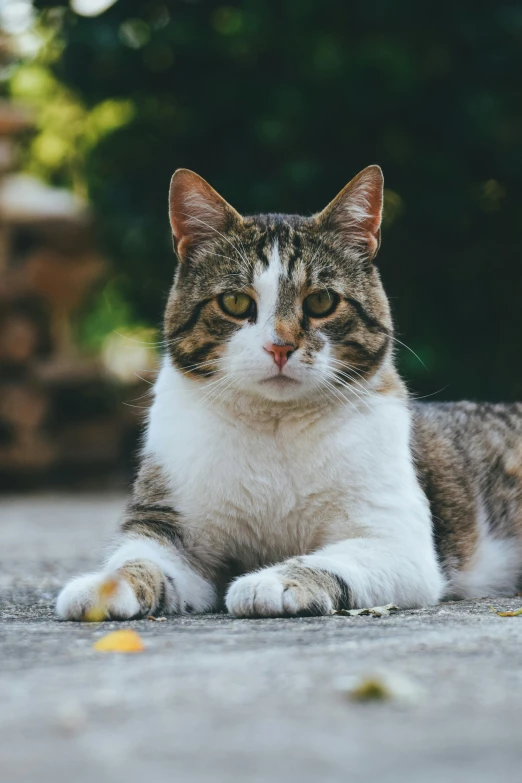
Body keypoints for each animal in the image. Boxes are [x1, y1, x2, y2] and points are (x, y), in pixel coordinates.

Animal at [55, 168, 520, 620]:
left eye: (321, 301)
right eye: (235, 302)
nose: (279, 346)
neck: (274, 425)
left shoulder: (395, 539)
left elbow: (330, 561)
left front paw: (275, 581)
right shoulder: (169, 526)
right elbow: (138, 560)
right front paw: (101, 587)